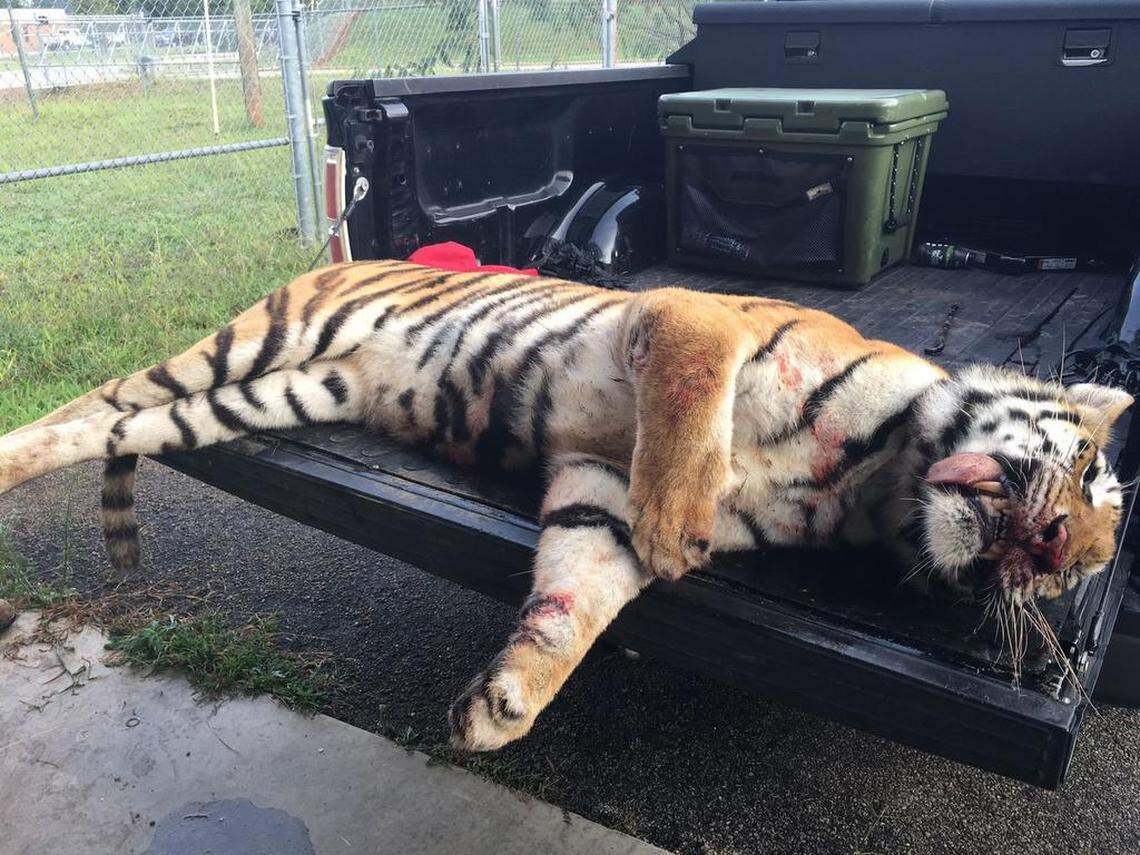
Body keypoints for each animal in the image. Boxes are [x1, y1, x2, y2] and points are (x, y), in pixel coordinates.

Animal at [0, 260, 1132, 750]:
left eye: (1075, 572)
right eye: (1086, 475)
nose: (1049, 552)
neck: (873, 479)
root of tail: (340, 249)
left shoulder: (593, 483)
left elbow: (577, 594)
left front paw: (509, 701)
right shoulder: (690, 319)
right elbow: (688, 410)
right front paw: (675, 532)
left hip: (274, 392)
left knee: (105, 426)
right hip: (251, 344)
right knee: (93, 397)